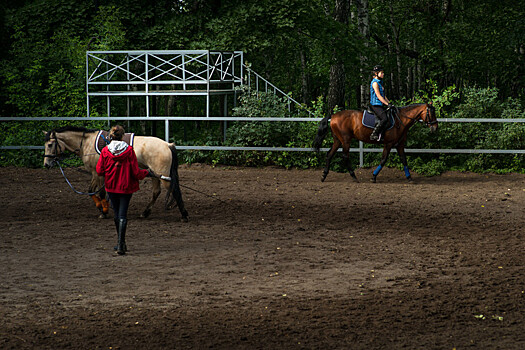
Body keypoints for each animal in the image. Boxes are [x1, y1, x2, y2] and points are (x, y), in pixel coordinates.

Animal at [43, 126, 188, 221]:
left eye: (50, 144)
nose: (46, 164)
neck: (87, 143)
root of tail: (167, 144)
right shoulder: (97, 174)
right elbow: (94, 191)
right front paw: (103, 208)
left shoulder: (97, 173)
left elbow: (98, 192)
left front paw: (103, 211)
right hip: (154, 174)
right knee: (156, 192)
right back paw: (145, 213)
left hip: (163, 176)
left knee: (174, 190)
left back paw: (184, 215)